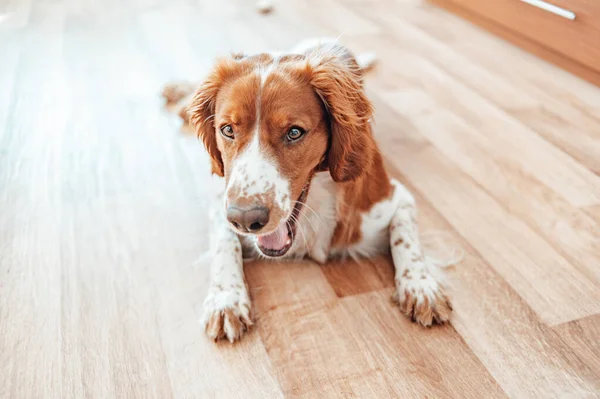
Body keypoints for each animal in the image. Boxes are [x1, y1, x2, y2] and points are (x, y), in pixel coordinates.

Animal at [162, 38, 452, 344]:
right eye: (227, 129)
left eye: (294, 132)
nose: (245, 220)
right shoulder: (223, 205)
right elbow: (224, 244)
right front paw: (226, 298)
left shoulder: (394, 198)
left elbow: (406, 238)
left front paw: (421, 285)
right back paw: (178, 92)